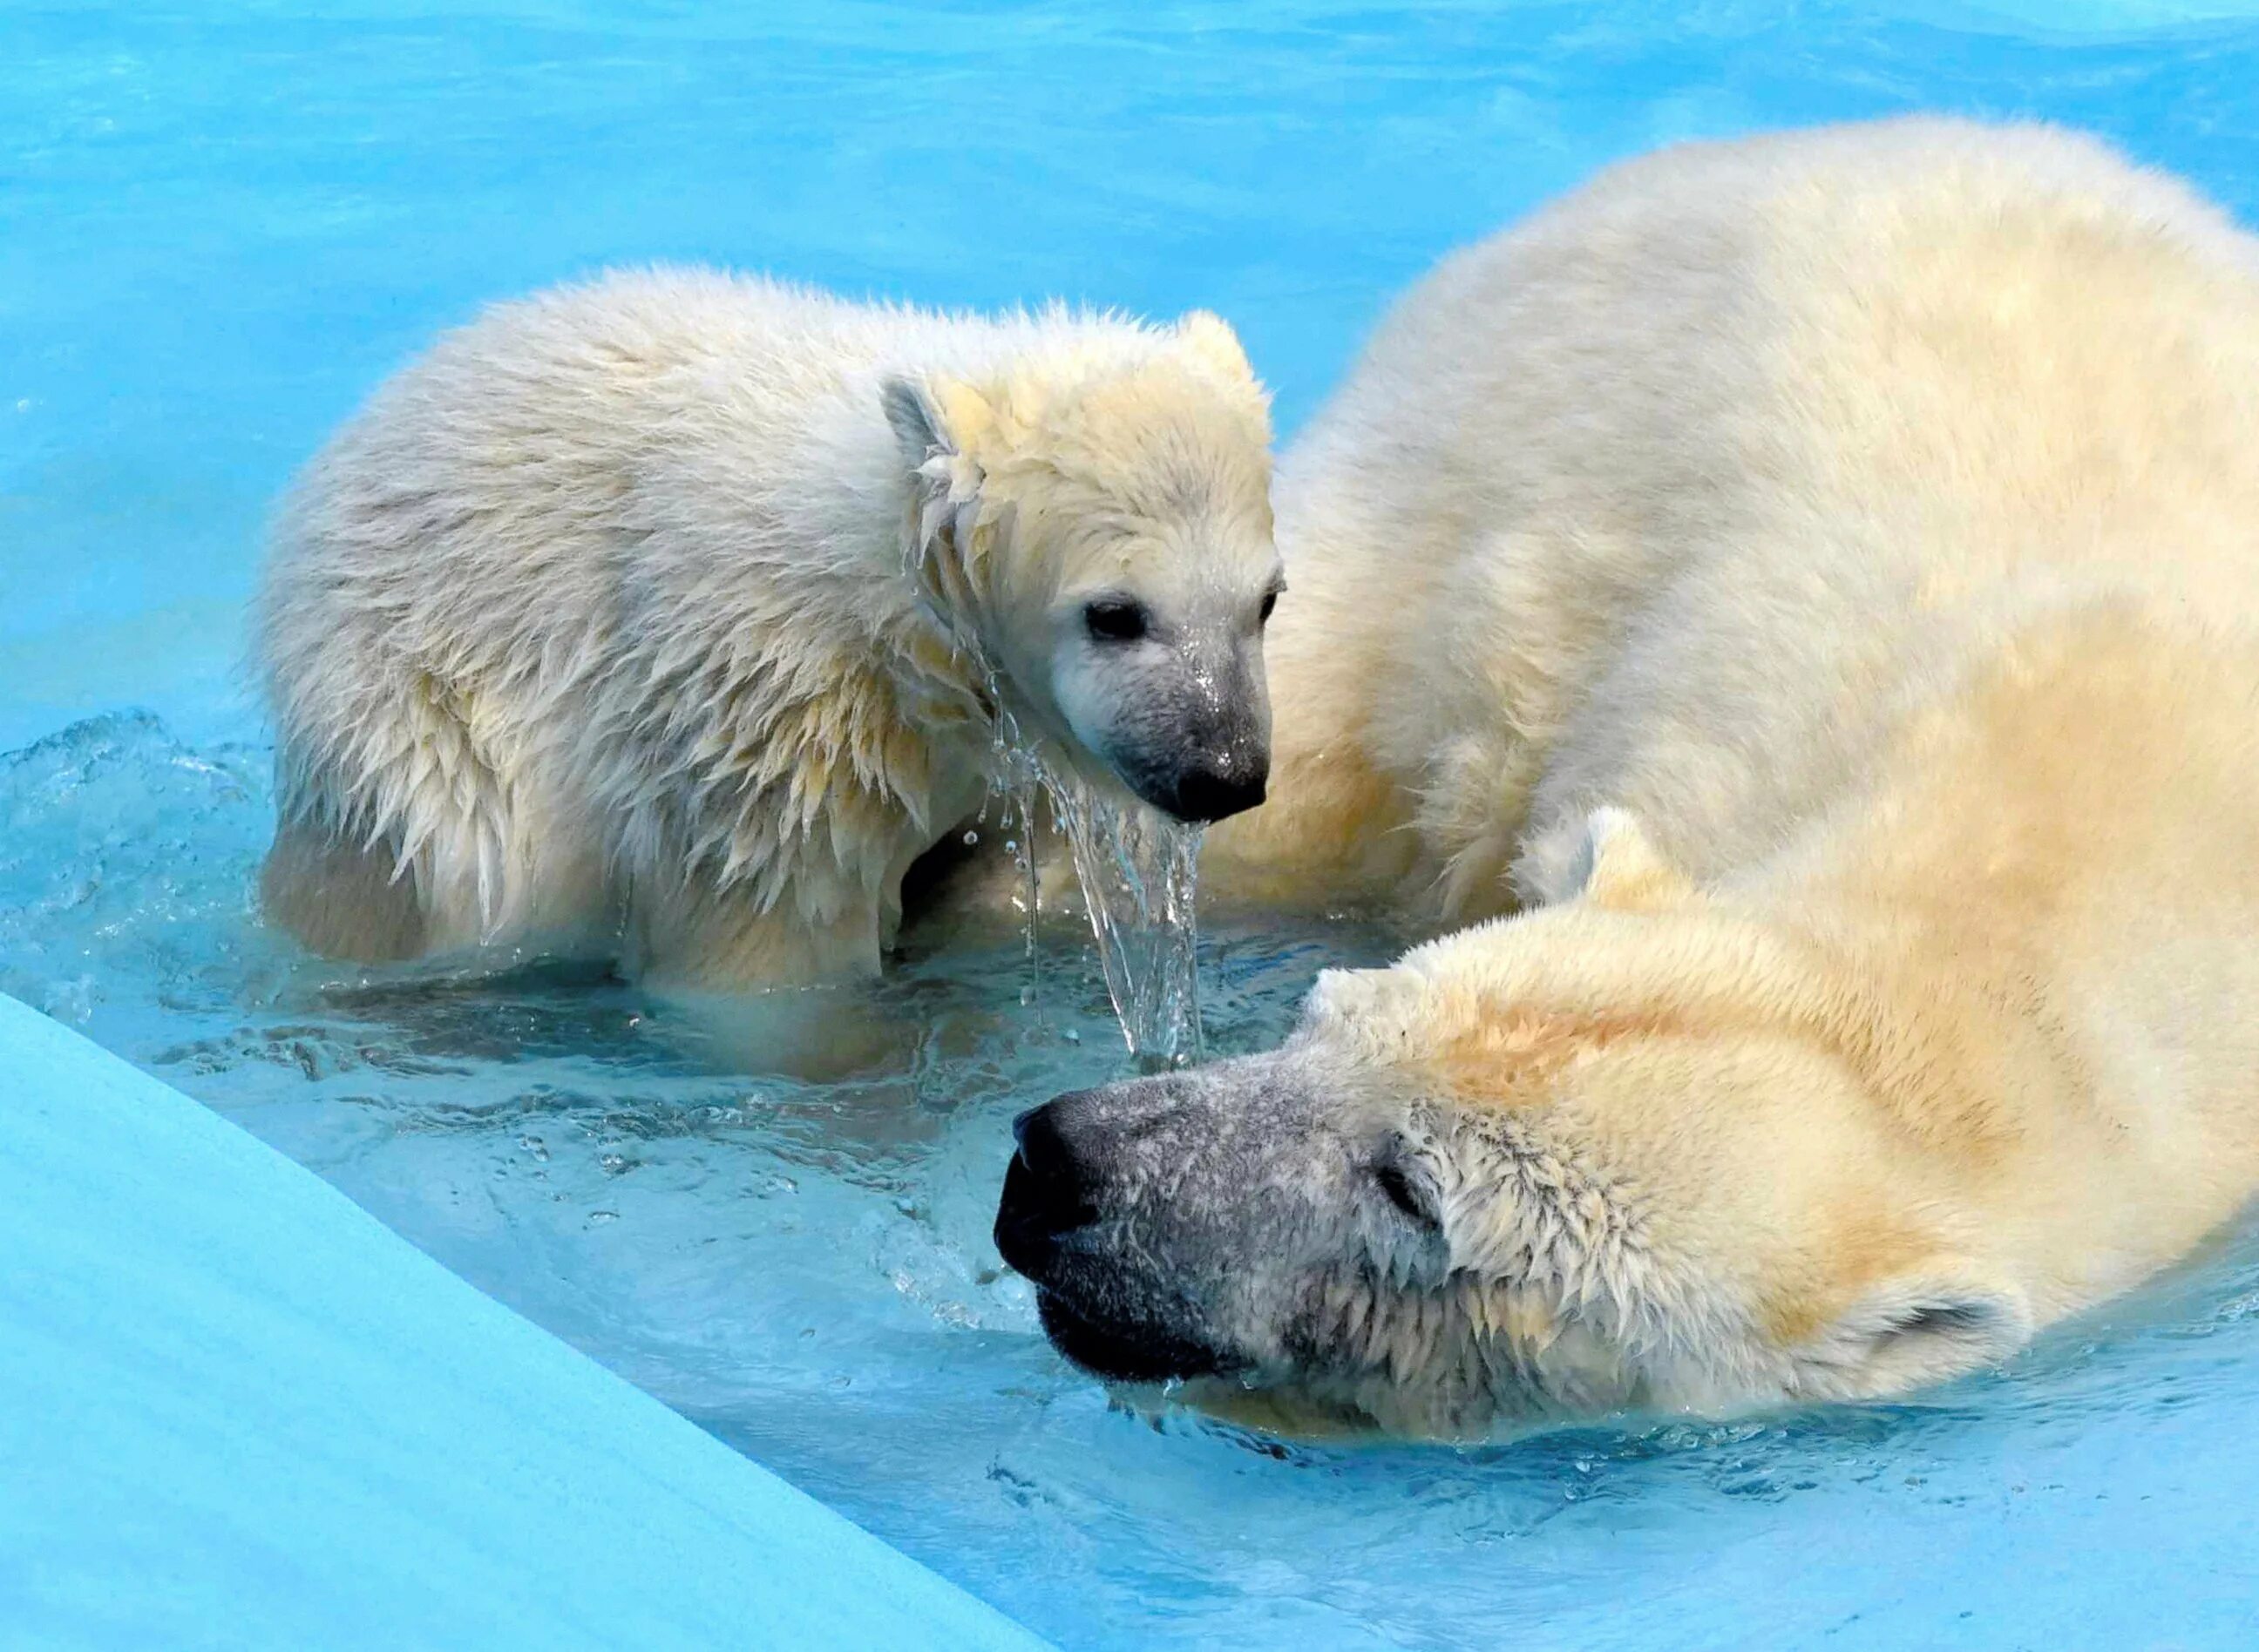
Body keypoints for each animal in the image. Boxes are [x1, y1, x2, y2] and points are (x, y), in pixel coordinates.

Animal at [256, 275, 1283, 990]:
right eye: (1115, 615)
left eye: (1267, 599)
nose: (1224, 774)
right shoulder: (771, 711)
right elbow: (766, 949)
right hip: (419, 731)